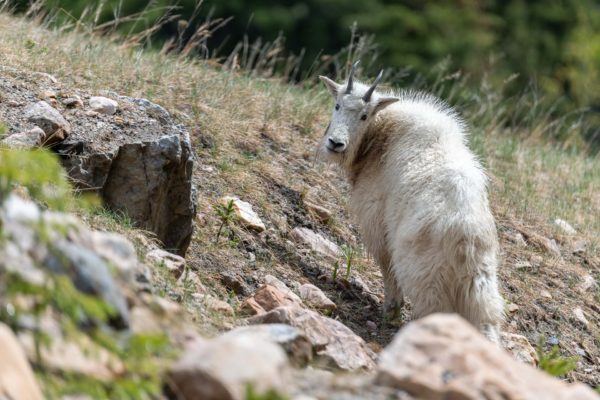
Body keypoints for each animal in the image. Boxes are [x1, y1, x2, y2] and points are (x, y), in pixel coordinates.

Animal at [316, 62, 504, 340]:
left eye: (364, 115)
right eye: (337, 105)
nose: (335, 143)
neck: (381, 136)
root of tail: (466, 236)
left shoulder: (378, 224)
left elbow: (387, 268)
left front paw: (390, 312)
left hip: (425, 274)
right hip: (480, 282)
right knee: (486, 323)